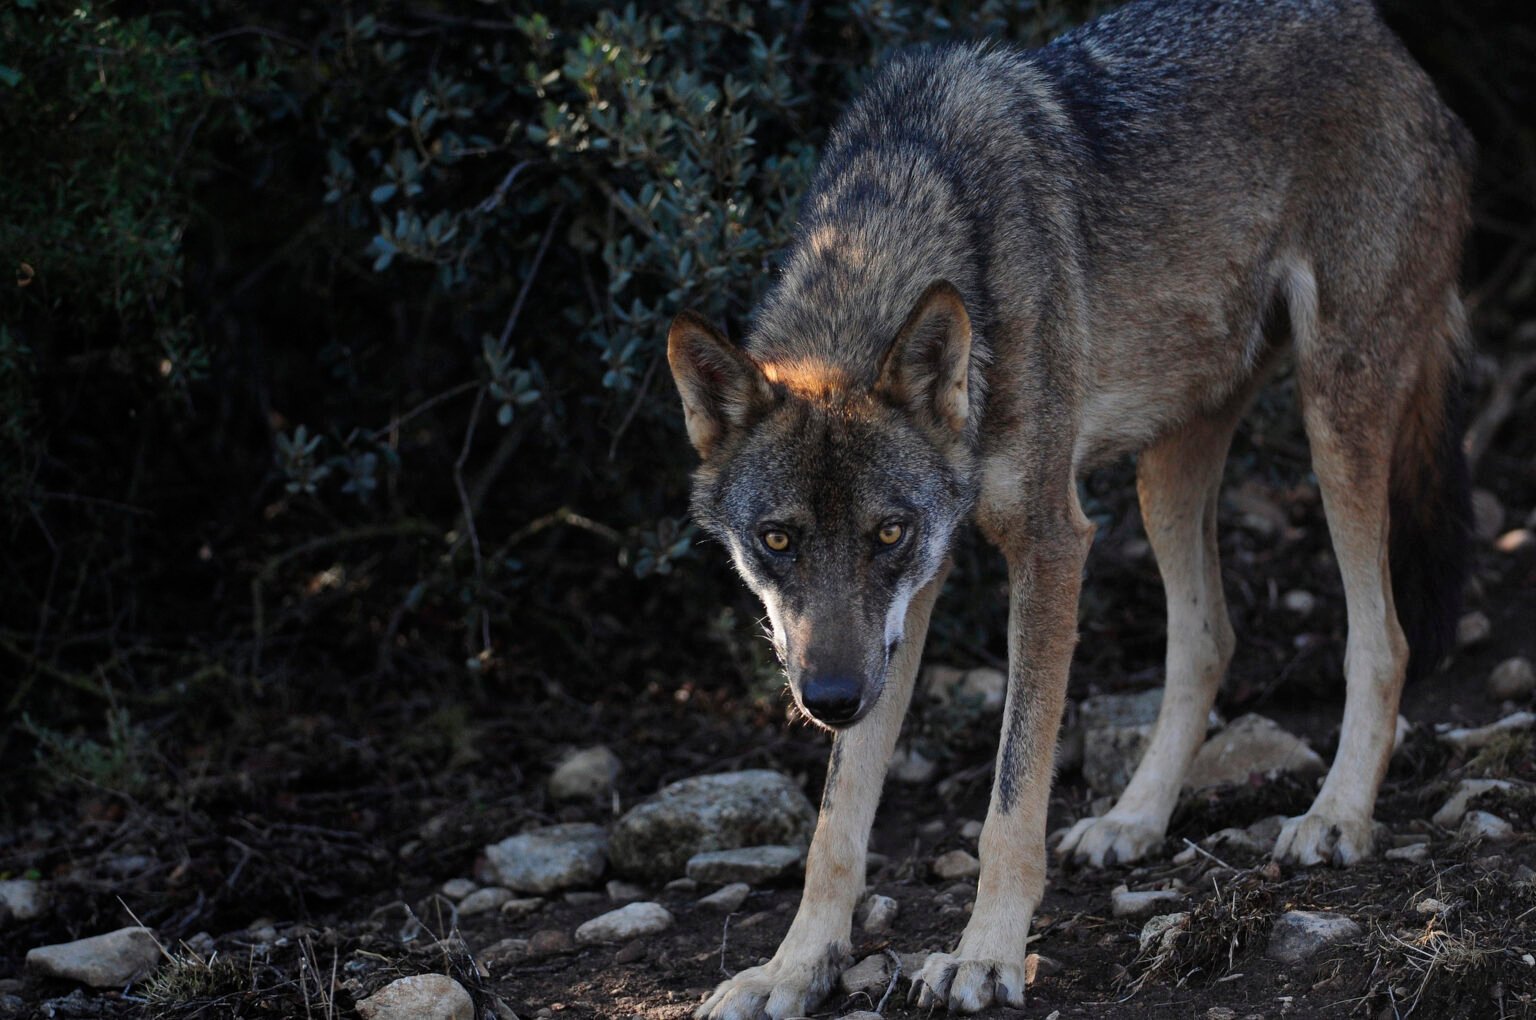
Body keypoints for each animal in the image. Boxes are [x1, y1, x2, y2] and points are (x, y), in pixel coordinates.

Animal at [667, 0, 1473, 1014]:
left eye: (886, 533)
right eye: (777, 540)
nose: (832, 700)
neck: (908, 228)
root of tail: (1390, 44)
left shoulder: (1050, 542)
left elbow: (1012, 797)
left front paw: (986, 956)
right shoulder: (916, 600)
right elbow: (835, 823)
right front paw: (794, 967)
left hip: (1337, 417)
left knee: (1384, 639)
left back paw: (1336, 816)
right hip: (1166, 471)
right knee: (1209, 640)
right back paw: (1133, 820)